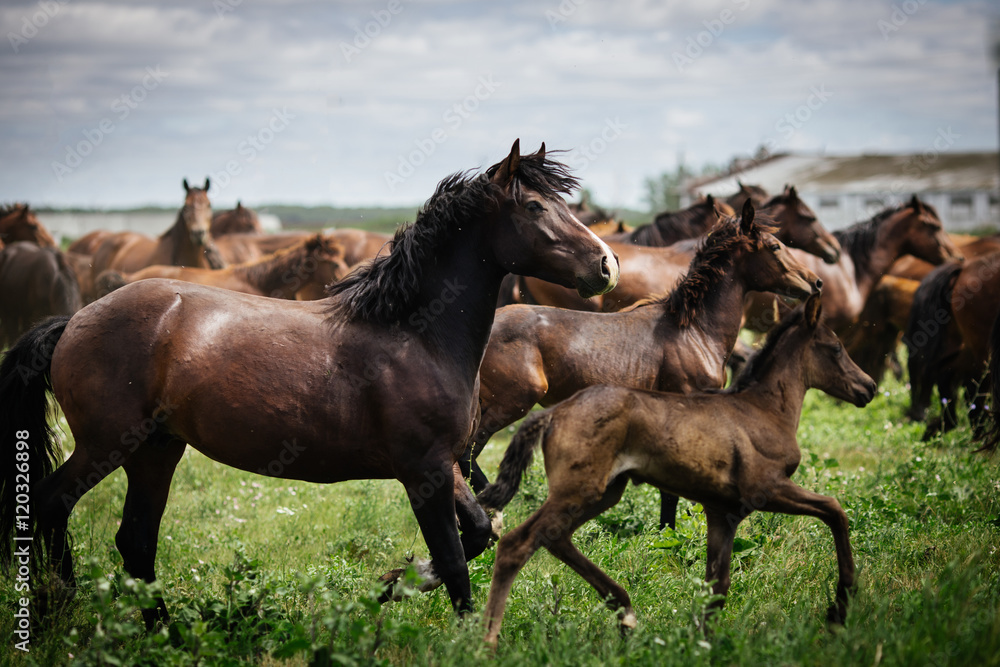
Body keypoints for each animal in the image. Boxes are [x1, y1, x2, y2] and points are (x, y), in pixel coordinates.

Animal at [463, 201, 823, 534]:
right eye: (775, 247)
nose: (815, 282)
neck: (693, 331)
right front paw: (669, 535)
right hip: (507, 405)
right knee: (467, 455)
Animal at [477, 294, 877, 646]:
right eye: (835, 348)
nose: (869, 387)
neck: (763, 409)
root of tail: (554, 412)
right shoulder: (766, 488)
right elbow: (835, 511)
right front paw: (839, 609)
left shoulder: (722, 513)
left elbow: (718, 585)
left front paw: (703, 643)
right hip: (580, 490)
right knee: (518, 543)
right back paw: (490, 640)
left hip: (604, 492)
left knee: (556, 539)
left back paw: (625, 612)